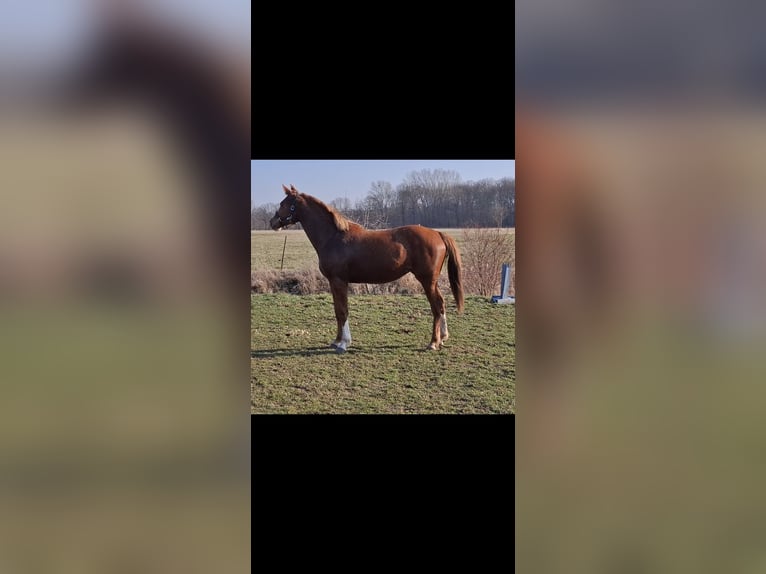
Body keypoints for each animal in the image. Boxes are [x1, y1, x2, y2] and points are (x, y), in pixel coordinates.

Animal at [270, 184, 464, 352]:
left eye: (284, 204)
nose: (272, 222)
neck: (333, 237)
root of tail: (437, 233)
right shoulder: (334, 282)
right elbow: (337, 311)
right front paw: (337, 341)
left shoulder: (339, 281)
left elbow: (343, 311)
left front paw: (343, 344)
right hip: (433, 281)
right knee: (441, 304)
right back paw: (443, 337)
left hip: (427, 280)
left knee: (436, 306)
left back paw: (433, 342)